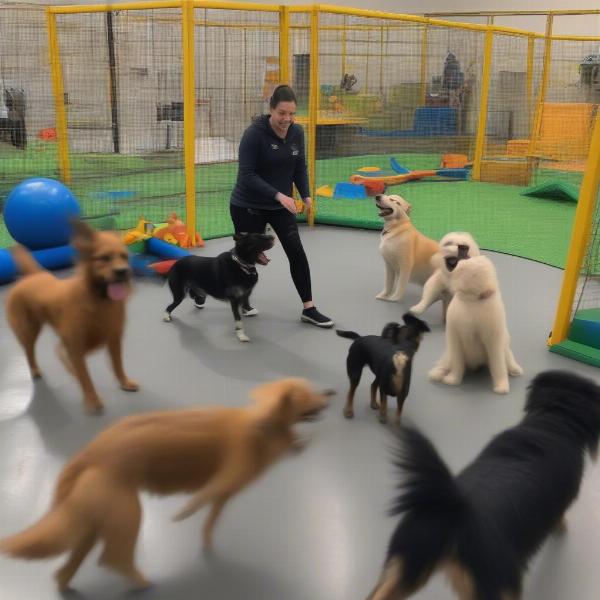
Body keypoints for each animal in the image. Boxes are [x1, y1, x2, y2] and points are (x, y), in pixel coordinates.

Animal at [0, 378, 332, 592]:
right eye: (306, 393)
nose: (331, 391)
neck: (260, 429)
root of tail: (87, 454)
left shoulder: (224, 496)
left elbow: (210, 522)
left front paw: (206, 541)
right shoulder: (225, 477)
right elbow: (203, 501)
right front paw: (184, 514)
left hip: (92, 522)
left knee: (66, 568)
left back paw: (66, 583)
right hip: (127, 514)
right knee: (112, 558)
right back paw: (143, 582)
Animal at [4, 220, 137, 412]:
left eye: (125, 257)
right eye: (104, 258)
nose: (123, 271)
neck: (98, 300)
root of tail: (32, 276)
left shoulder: (113, 340)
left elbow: (117, 365)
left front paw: (124, 382)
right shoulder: (75, 347)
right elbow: (85, 377)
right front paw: (92, 399)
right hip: (28, 332)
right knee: (30, 353)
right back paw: (36, 370)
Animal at [368, 370, 600, 600]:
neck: (551, 423)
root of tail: (452, 510)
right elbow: (560, 515)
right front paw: (561, 527)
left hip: (404, 569)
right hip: (499, 588)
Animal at [428, 250, 524, 394]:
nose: (459, 261)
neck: (472, 302)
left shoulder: (494, 341)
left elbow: (498, 366)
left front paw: (502, 386)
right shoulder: (455, 339)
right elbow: (457, 364)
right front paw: (453, 379)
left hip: (504, 347)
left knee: (508, 358)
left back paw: (514, 369)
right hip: (449, 354)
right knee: (445, 363)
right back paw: (437, 373)